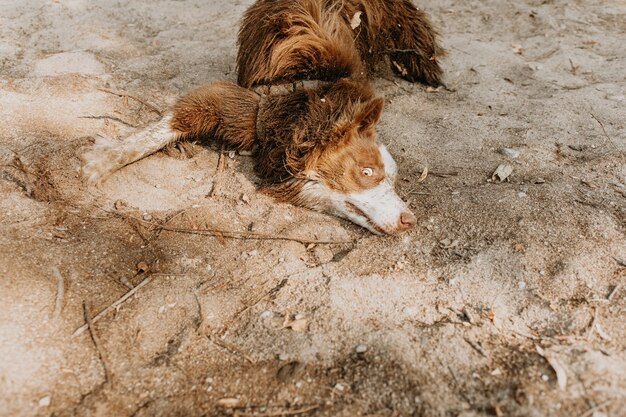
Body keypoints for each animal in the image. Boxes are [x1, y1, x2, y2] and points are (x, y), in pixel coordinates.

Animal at [83, 0, 444, 234]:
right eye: (367, 171)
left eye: (394, 179)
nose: (410, 219)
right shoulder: (231, 103)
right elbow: (162, 128)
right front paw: (101, 162)